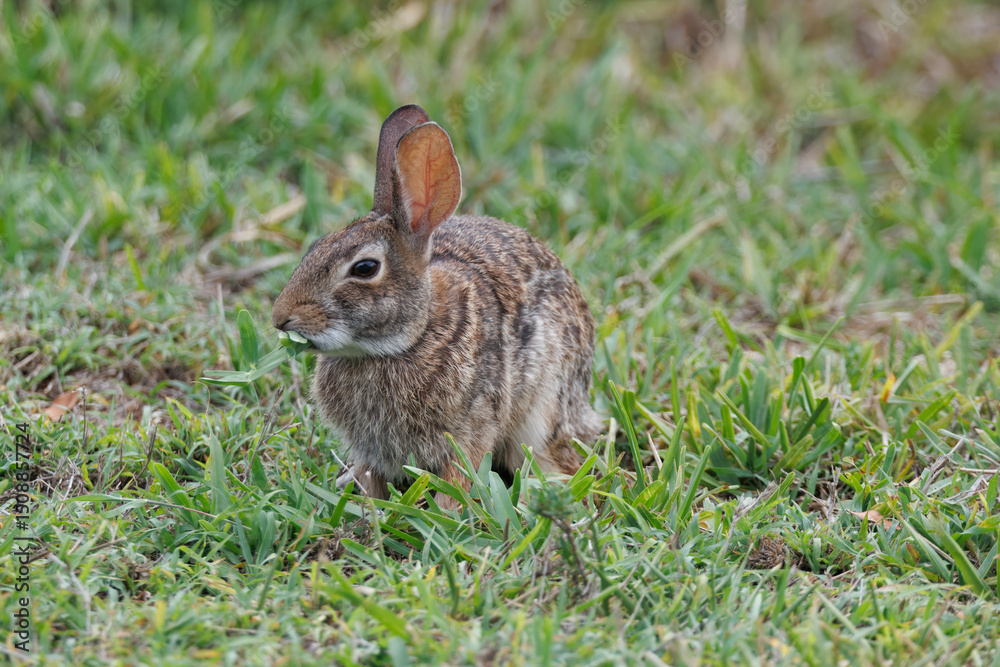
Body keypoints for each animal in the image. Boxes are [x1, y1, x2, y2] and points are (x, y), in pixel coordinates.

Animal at [270, 104, 601, 508]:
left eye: (365, 269)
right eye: (315, 245)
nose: (281, 318)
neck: (411, 338)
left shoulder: (470, 430)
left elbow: (457, 479)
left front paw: (446, 512)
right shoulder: (372, 450)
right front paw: (367, 506)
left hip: (543, 413)